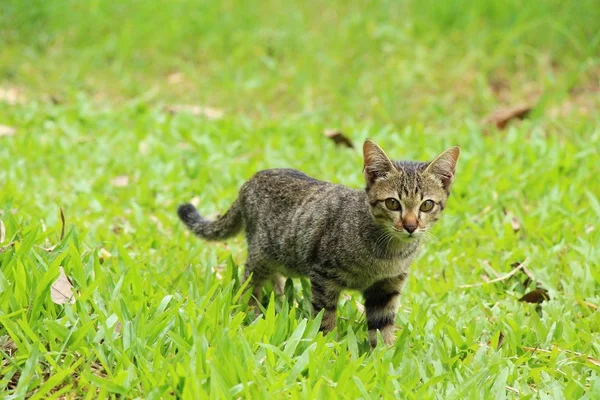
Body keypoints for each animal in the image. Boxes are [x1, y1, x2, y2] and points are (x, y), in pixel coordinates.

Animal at [178, 139, 460, 346]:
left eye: (427, 205)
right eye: (393, 203)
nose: (411, 226)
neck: (388, 254)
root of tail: (251, 179)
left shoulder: (387, 287)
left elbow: (383, 327)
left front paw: (384, 359)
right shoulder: (324, 276)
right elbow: (325, 319)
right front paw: (328, 348)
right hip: (261, 256)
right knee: (249, 282)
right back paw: (255, 312)